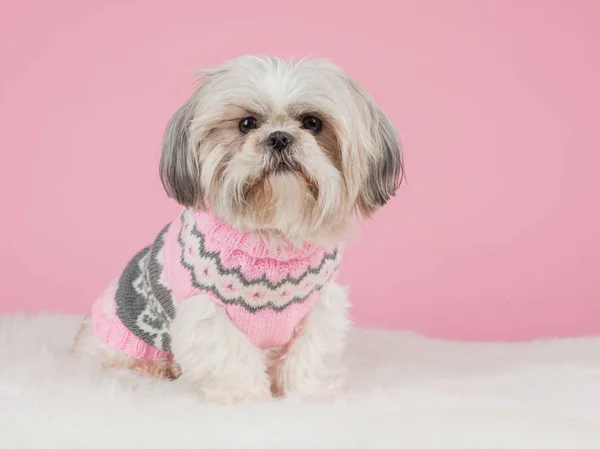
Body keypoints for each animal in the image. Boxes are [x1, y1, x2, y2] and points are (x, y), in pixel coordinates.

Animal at [74, 55, 404, 402]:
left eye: (312, 123)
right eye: (247, 124)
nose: (279, 137)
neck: (272, 235)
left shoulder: (320, 306)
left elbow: (308, 356)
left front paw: (308, 395)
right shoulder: (208, 312)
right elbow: (232, 359)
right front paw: (246, 399)